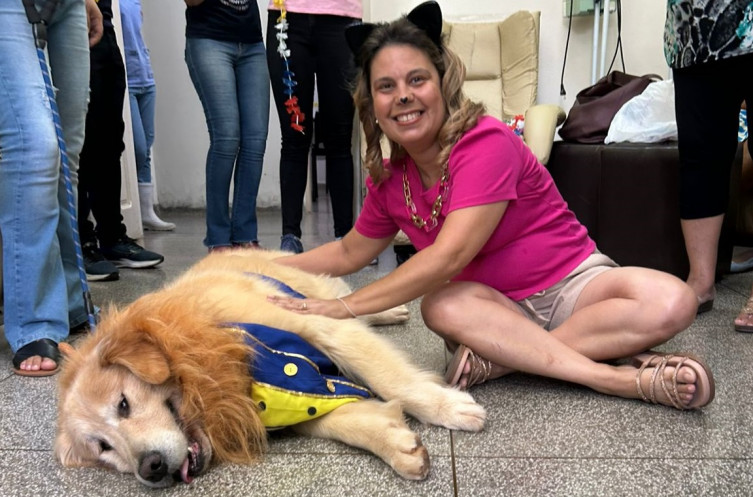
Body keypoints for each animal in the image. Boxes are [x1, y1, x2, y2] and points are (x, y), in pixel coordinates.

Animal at [55, 250, 486, 488]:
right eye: (103, 448)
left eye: (123, 404)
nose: (151, 469)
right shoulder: (300, 398)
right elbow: (343, 420)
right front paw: (398, 445)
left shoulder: (319, 326)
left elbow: (391, 378)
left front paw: (447, 407)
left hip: (316, 292)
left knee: (349, 299)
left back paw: (390, 310)